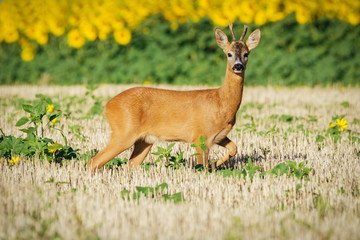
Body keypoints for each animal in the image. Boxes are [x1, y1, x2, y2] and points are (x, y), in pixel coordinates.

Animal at [87, 23, 262, 172]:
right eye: (229, 54)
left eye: (246, 54)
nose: (238, 66)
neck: (221, 102)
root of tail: (108, 105)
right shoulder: (200, 136)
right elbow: (203, 168)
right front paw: (209, 168)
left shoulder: (219, 135)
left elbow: (234, 148)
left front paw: (215, 164)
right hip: (124, 131)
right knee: (94, 161)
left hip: (144, 140)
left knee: (130, 164)